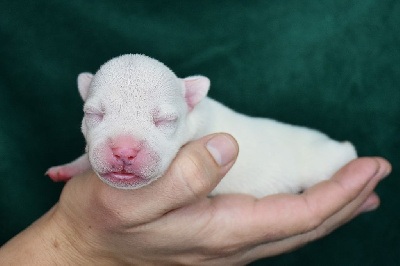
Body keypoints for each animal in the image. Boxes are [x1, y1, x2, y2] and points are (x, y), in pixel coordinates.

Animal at [47, 54, 356, 198]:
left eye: (165, 120)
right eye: (93, 114)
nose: (124, 151)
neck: (196, 114)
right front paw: (67, 168)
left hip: (320, 163)